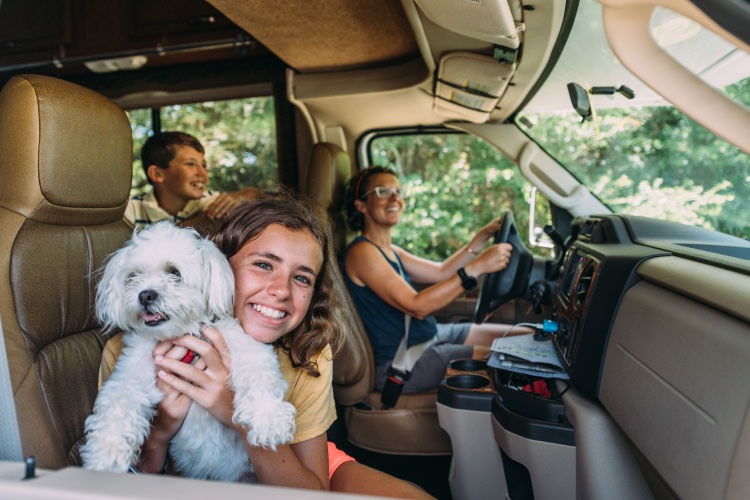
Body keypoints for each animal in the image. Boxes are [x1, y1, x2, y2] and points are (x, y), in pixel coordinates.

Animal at [80, 222, 296, 480]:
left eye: (174, 273)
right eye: (133, 276)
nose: (145, 294)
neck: (180, 337)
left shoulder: (243, 345)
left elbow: (258, 374)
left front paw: (269, 418)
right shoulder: (130, 376)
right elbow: (118, 405)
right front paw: (106, 454)